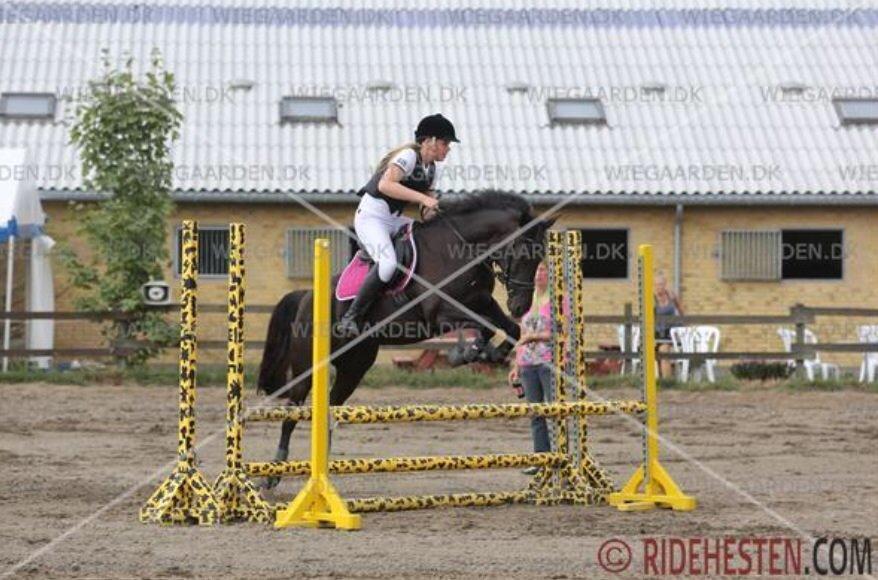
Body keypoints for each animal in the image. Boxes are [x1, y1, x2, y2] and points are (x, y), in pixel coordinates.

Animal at [258, 191, 552, 484]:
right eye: (523, 254)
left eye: (540, 257)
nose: (520, 307)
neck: (462, 246)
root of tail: (305, 295)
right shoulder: (440, 314)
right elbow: (486, 327)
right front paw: (466, 353)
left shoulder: (481, 302)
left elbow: (509, 329)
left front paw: (491, 353)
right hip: (307, 366)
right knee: (292, 411)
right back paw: (273, 473)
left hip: (354, 367)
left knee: (331, 407)